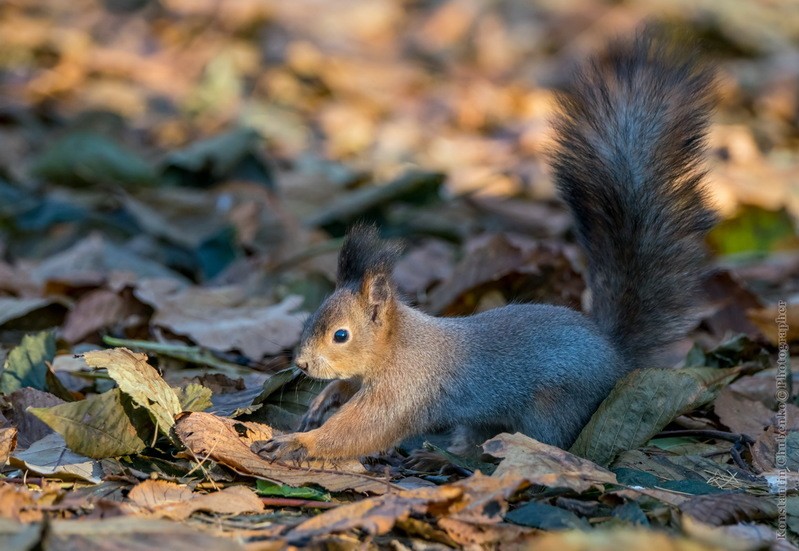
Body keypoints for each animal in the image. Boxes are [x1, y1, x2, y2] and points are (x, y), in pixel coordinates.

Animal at [255, 32, 720, 464]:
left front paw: (300, 443)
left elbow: (365, 428)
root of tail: (614, 356)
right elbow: (348, 388)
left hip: (551, 410)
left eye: (341, 335)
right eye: (310, 319)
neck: (397, 345)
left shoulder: (407, 389)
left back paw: (447, 457)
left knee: (513, 447)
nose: (301, 364)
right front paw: (325, 399)